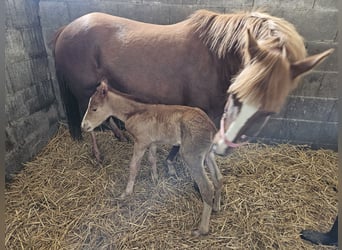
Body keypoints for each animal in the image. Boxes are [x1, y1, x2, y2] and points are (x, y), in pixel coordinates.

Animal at [52, 9, 332, 158]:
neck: (217, 58)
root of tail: (66, 28)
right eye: (235, 96)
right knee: (89, 120)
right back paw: (98, 153)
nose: (223, 148)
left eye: (268, 112)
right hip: (85, 91)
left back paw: (120, 136)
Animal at [82, 78, 223, 236]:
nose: (83, 126)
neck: (135, 112)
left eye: (94, 108)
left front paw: (126, 192)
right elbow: (152, 158)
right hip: (208, 154)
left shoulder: (141, 142)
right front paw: (155, 178)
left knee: (207, 188)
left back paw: (201, 230)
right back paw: (216, 206)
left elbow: (134, 166)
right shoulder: (152, 142)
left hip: (191, 156)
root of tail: (210, 126)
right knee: (218, 178)